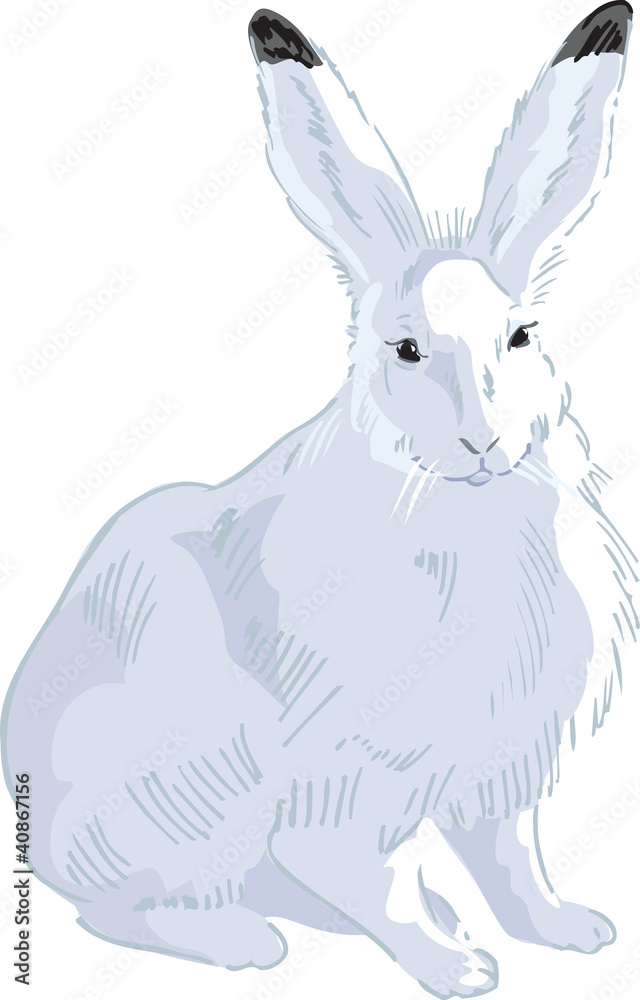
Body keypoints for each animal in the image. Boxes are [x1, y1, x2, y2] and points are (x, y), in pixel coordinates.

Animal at [1, 4, 637, 997]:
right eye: (405, 349)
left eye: (524, 335)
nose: (484, 442)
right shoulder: (353, 777)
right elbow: (371, 874)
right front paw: (460, 971)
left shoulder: (501, 774)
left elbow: (513, 861)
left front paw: (572, 932)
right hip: (192, 806)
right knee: (133, 906)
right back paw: (246, 943)